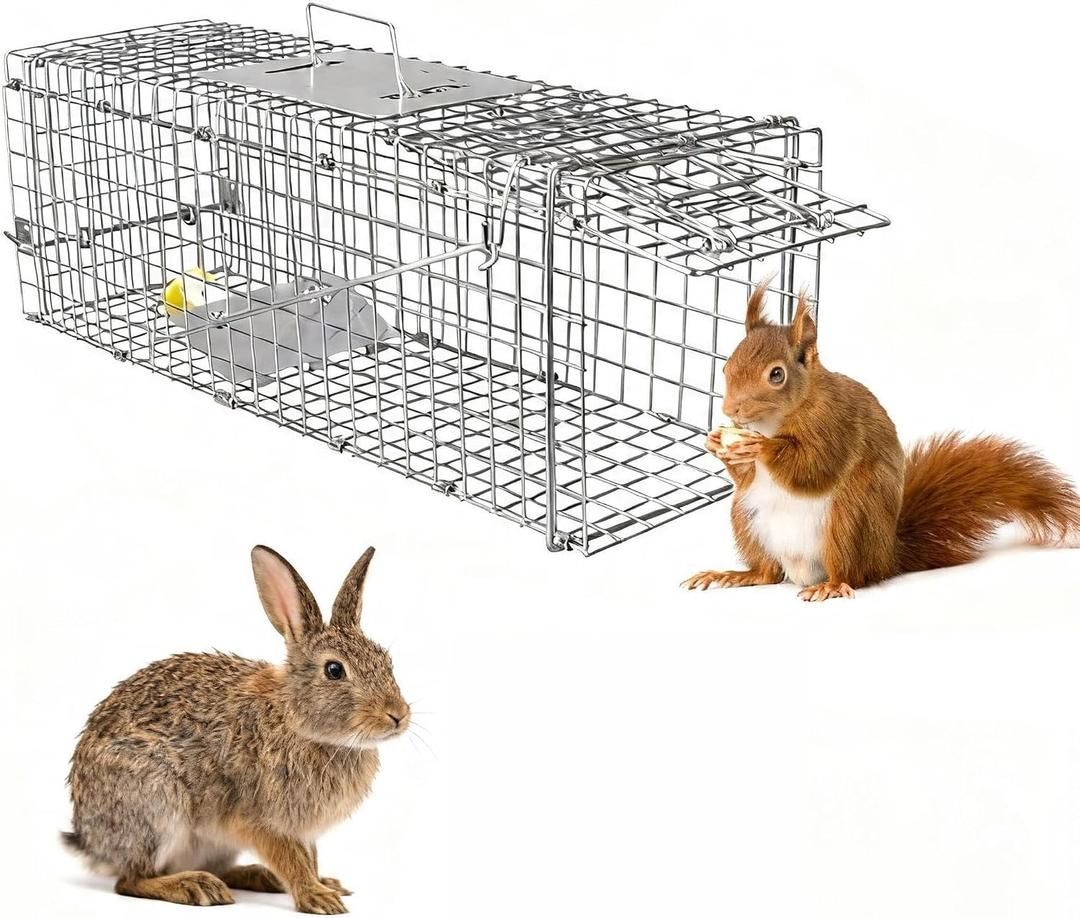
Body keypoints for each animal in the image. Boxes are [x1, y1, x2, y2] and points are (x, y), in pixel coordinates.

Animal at [63, 545, 410, 914]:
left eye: (386, 661)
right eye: (334, 670)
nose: (398, 715)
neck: (294, 720)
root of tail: (92, 842)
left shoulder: (303, 830)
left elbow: (309, 857)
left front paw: (323, 884)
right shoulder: (256, 818)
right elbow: (291, 858)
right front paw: (317, 897)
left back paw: (258, 878)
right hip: (156, 804)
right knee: (131, 880)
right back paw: (195, 886)